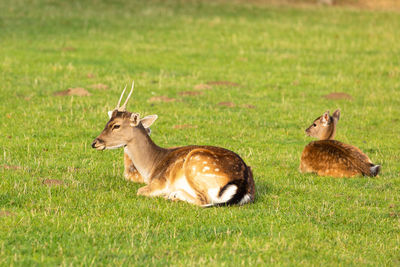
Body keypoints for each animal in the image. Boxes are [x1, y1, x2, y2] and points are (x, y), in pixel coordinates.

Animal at [91, 82, 256, 208]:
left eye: (116, 125)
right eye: (108, 121)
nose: (95, 142)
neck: (151, 167)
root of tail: (242, 183)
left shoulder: (159, 182)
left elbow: (140, 191)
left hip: (196, 163)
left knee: (204, 200)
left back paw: (173, 195)